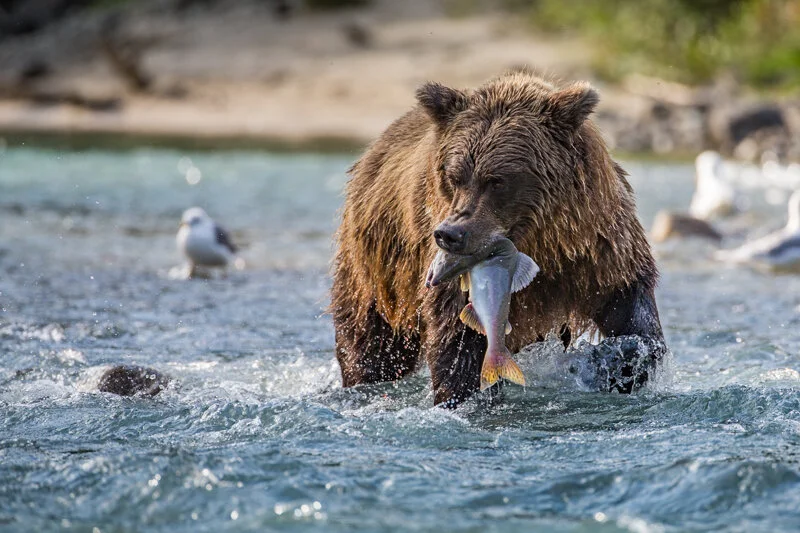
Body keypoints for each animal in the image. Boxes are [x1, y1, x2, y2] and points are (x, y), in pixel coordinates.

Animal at [331, 71, 666, 407]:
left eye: (497, 180)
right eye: (455, 176)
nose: (449, 234)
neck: (541, 243)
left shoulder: (596, 249)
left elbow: (631, 310)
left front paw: (618, 362)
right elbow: (458, 338)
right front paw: (461, 394)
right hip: (376, 267)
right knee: (371, 339)